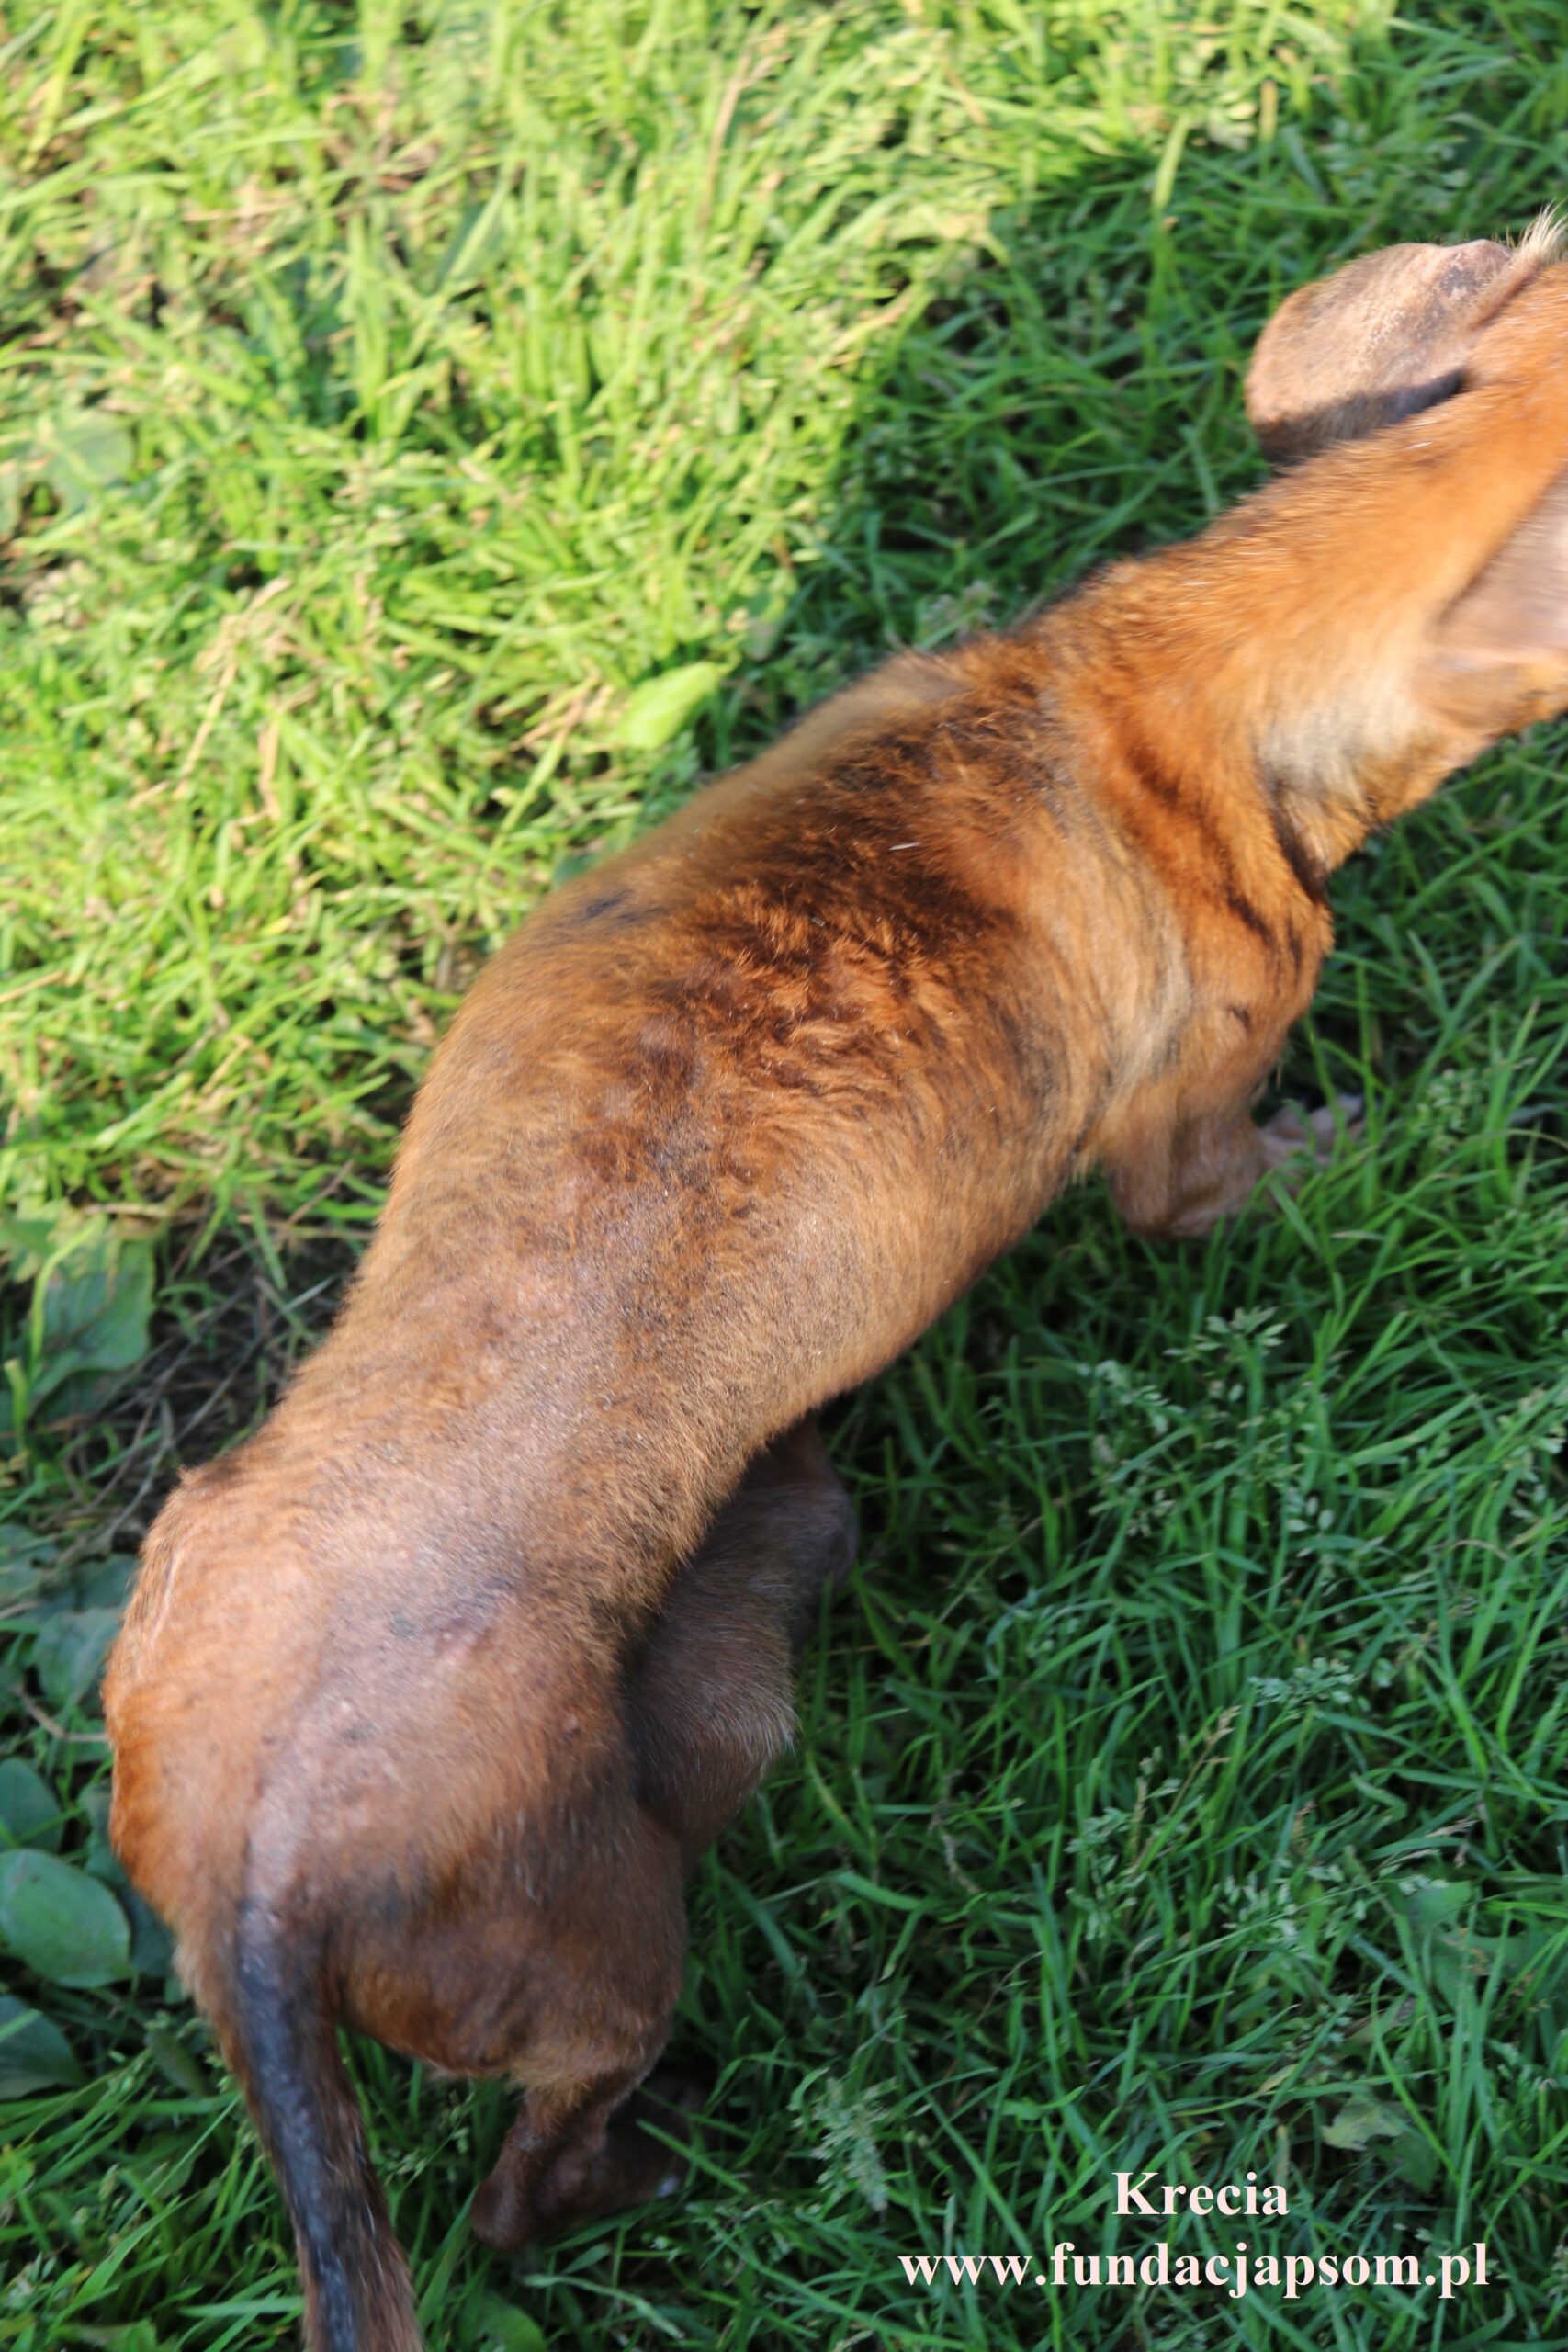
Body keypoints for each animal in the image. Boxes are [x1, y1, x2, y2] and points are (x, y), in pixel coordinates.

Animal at [104, 221, 1568, 2352]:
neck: (1169, 672)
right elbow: (1272, 1168)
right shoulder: (1194, 1142)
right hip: (615, 1927)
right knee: (528, 2182)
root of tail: (260, 1876)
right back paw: (657, 2160)